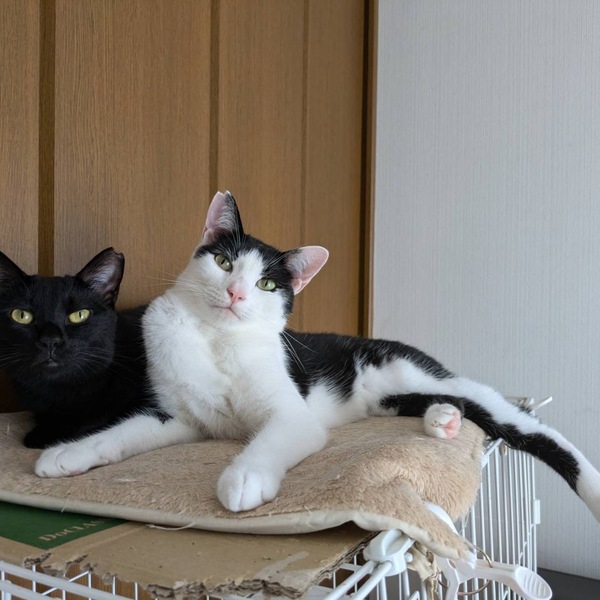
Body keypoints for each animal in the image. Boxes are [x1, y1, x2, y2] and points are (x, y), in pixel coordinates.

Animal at [34, 192, 600, 523]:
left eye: (266, 284)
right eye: (223, 262)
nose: (237, 293)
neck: (218, 340)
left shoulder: (292, 415)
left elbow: (272, 439)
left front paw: (245, 477)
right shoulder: (180, 419)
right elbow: (125, 432)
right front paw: (69, 453)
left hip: (429, 374)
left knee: (525, 422)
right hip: (393, 399)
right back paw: (443, 421)